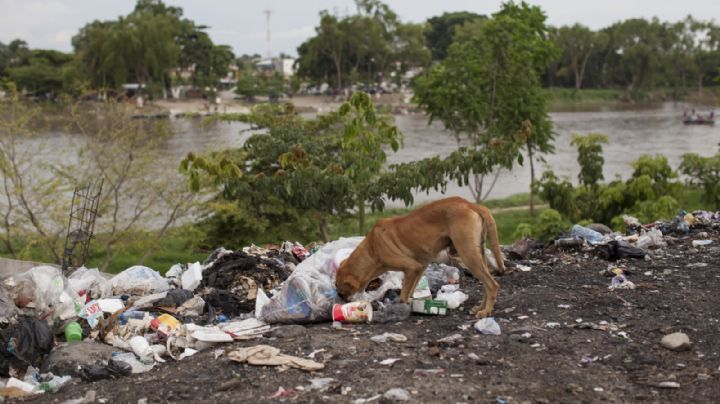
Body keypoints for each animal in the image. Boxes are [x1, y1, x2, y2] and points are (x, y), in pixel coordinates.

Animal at [338, 196, 506, 318]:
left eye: (340, 290)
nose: (341, 300)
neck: (372, 249)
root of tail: (469, 204)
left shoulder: (411, 267)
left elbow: (404, 293)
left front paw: (401, 305)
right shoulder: (420, 267)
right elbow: (411, 290)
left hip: (468, 254)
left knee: (492, 285)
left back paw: (486, 311)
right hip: (478, 253)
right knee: (487, 284)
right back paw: (480, 307)